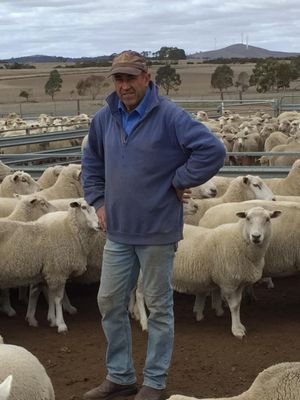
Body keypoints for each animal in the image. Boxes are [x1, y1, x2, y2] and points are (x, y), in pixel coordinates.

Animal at [0, 198, 99, 332]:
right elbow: (58, 298)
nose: (99, 225)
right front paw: (61, 324)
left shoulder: (50, 271)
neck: (70, 230)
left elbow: (51, 296)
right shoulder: (57, 271)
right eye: (83, 207)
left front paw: (52, 320)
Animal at [175, 208, 280, 340]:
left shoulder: (240, 282)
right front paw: (236, 330)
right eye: (247, 218)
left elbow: (238, 303)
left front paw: (240, 326)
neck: (240, 238)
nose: (256, 236)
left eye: (268, 219)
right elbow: (234, 306)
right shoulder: (228, 282)